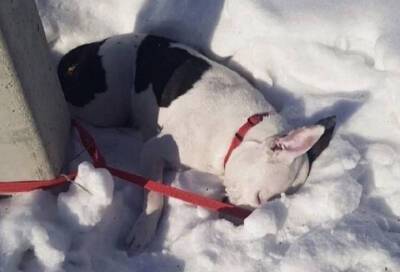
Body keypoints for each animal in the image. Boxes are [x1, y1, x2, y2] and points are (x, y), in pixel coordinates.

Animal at [57, 33, 336, 253]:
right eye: (259, 198)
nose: (238, 222)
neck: (239, 132)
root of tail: (98, 45)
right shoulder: (153, 151)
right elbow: (155, 193)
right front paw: (144, 229)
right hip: (103, 106)